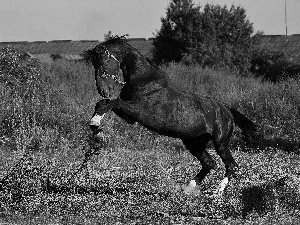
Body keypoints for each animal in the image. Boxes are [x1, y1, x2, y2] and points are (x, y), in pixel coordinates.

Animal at [86, 35, 260, 195]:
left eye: (103, 62)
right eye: (94, 64)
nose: (103, 90)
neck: (144, 81)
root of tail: (227, 110)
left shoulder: (139, 111)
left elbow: (113, 102)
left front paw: (95, 124)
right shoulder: (130, 118)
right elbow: (104, 104)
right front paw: (95, 127)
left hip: (220, 142)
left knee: (231, 165)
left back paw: (217, 192)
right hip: (194, 143)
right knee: (209, 163)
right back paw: (188, 187)